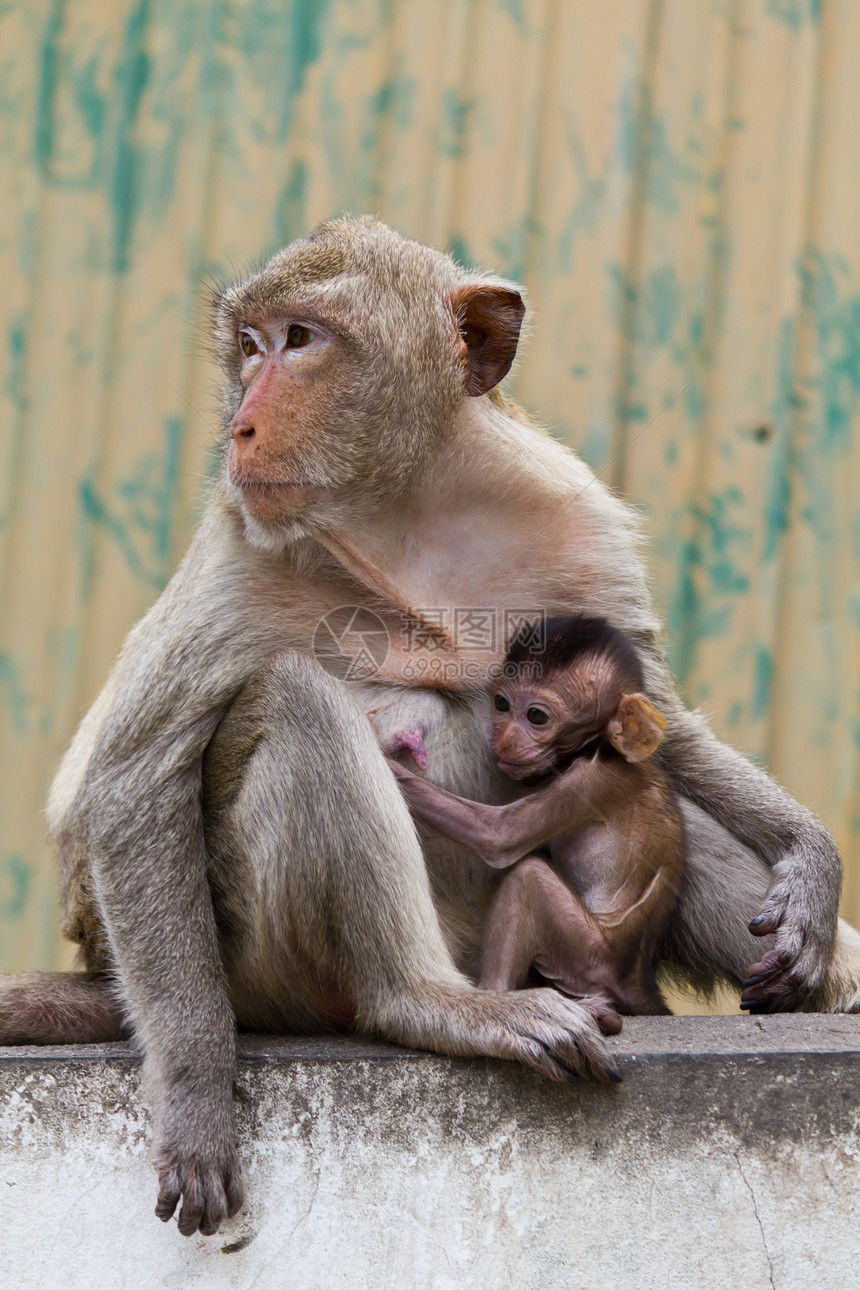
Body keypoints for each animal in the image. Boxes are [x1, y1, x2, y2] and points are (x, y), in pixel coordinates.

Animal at [389, 616, 685, 1016]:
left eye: (536, 716)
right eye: (501, 703)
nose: (505, 739)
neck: (598, 749)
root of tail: (635, 983)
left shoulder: (591, 782)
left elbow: (499, 836)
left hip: (588, 957)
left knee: (528, 877)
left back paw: (497, 998)